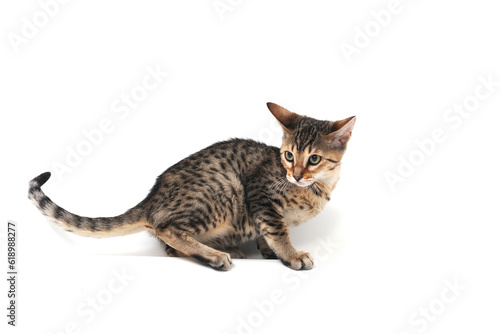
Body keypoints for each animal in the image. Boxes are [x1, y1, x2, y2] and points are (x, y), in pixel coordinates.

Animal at [28, 103, 356, 270]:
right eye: (288, 156)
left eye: (314, 159)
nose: (296, 175)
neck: (316, 188)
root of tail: (152, 198)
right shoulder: (259, 194)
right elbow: (277, 230)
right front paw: (291, 254)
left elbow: (270, 233)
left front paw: (268, 250)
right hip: (224, 190)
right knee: (166, 229)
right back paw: (214, 255)